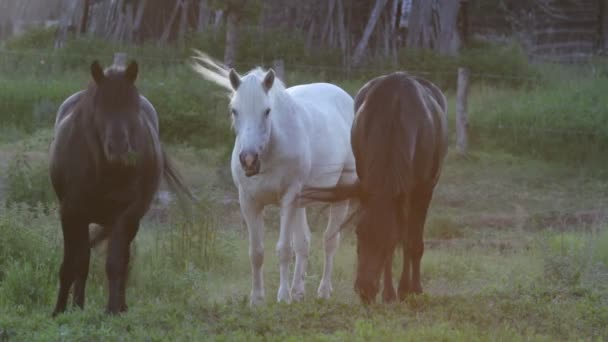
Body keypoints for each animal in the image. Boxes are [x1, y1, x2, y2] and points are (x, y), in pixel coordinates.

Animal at [50, 59, 192, 316]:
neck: (107, 170)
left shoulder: (127, 214)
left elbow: (116, 262)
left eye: (132, 106)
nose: (118, 149)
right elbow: (73, 263)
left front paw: (112, 309)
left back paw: (120, 305)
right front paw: (61, 310)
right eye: (99, 106)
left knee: (123, 259)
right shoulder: (70, 212)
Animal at [192, 51, 356, 304]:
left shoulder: (288, 199)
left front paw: (283, 296)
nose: (249, 160)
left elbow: (284, 249)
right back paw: (299, 291)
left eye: (267, 111)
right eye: (234, 110)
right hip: (302, 201)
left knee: (329, 241)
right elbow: (257, 252)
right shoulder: (249, 202)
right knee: (304, 242)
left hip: (339, 195)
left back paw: (323, 291)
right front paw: (257, 298)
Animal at [300, 73, 446, 304]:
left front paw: (411, 289)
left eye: (388, 240)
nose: (365, 290)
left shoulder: (423, 189)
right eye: (359, 233)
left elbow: (412, 241)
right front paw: (389, 293)